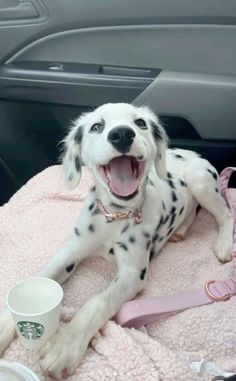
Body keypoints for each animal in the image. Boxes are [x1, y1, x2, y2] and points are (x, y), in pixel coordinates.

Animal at [0, 101, 233, 378]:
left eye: (140, 123)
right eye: (96, 126)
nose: (122, 134)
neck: (115, 216)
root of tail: (195, 155)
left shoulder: (133, 274)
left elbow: (98, 301)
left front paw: (66, 344)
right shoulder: (70, 251)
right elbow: (41, 276)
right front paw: (5, 323)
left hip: (200, 179)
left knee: (225, 213)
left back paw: (223, 244)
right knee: (193, 210)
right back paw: (181, 229)